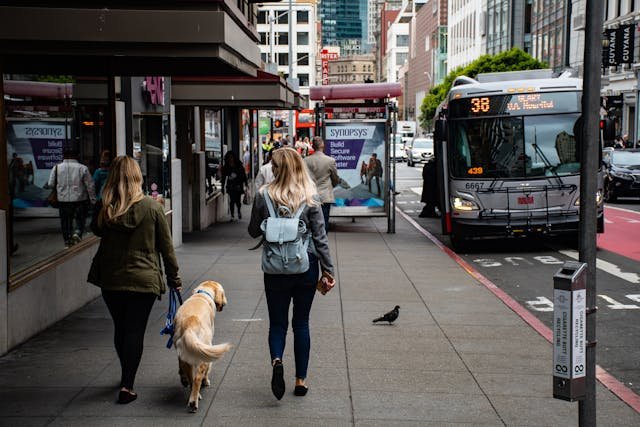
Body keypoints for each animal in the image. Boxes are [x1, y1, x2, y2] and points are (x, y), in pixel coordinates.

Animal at [175, 280, 232, 412]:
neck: (202, 293)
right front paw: (206, 381)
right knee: (197, 378)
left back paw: (193, 392)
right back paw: (193, 402)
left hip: (186, 354)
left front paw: (183, 379)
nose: (226, 303)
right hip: (204, 353)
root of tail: (189, 325)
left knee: (190, 377)